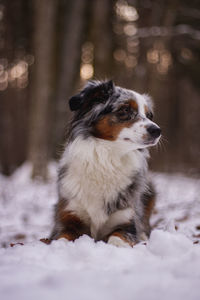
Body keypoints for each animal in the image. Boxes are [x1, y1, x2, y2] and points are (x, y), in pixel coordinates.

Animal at [50, 80, 161, 248]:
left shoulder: (126, 223)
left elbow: (117, 240)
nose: (157, 130)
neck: (108, 160)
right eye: (125, 109)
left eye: (149, 115)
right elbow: (61, 239)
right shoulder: (68, 219)